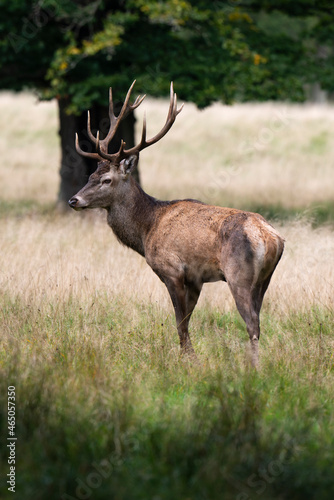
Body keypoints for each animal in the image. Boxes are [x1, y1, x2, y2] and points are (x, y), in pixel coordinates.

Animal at [69, 79, 284, 368]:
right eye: (91, 175)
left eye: (107, 180)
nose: (74, 200)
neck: (147, 229)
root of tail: (271, 238)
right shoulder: (195, 279)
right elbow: (187, 320)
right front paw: (190, 357)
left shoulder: (172, 270)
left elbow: (180, 322)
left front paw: (187, 361)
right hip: (265, 278)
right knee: (259, 319)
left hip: (238, 274)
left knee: (252, 323)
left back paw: (254, 367)